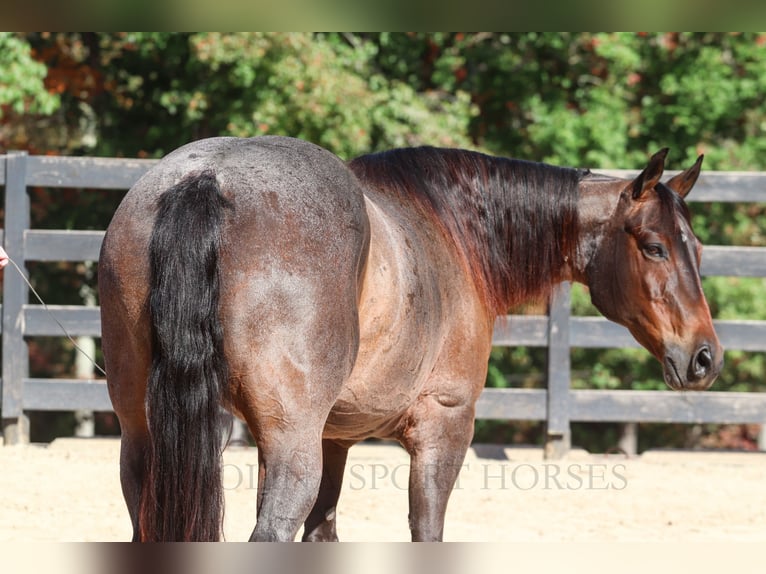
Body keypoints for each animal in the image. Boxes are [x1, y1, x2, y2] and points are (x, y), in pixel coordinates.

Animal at [99, 137, 724, 544]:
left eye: (696, 248)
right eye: (654, 247)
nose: (704, 356)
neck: (455, 231)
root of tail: (206, 178)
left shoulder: (335, 439)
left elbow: (323, 532)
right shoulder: (442, 427)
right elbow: (426, 533)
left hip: (145, 443)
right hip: (287, 447)